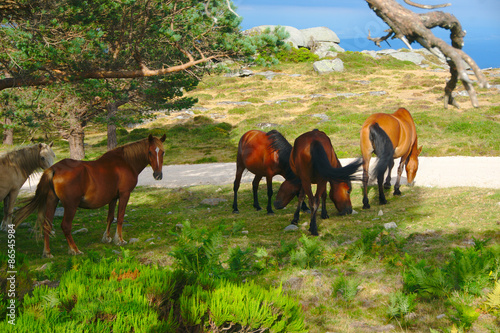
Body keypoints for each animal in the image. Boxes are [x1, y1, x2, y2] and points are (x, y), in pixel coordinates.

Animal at [13, 134, 166, 256]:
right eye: (150, 152)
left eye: (163, 152)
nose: (158, 175)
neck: (125, 162)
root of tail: (54, 169)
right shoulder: (124, 194)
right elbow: (120, 217)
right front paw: (120, 240)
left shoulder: (113, 198)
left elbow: (110, 217)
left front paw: (107, 238)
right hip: (71, 205)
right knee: (66, 226)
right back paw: (74, 250)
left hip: (52, 201)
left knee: (47, 225)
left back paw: (47, 252)